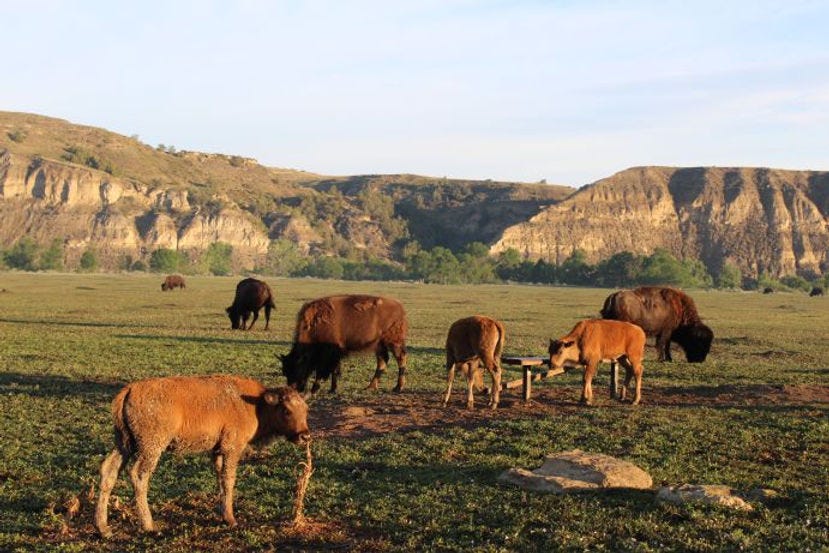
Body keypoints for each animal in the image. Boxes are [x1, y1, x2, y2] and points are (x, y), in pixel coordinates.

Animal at [94, 375, 310, 538]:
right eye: (286, 410)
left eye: (306, 410)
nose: (305, 436)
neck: (256, 405)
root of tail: (129, 390)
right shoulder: (232, 448)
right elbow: (229, 479)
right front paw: (231, 519)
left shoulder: (217, 451)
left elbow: (220, 480)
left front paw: (223, 513)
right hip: (151, 447)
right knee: (139, 475)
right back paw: (149, 525)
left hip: (124, 444)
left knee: (108, 471)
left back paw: (103, 528)